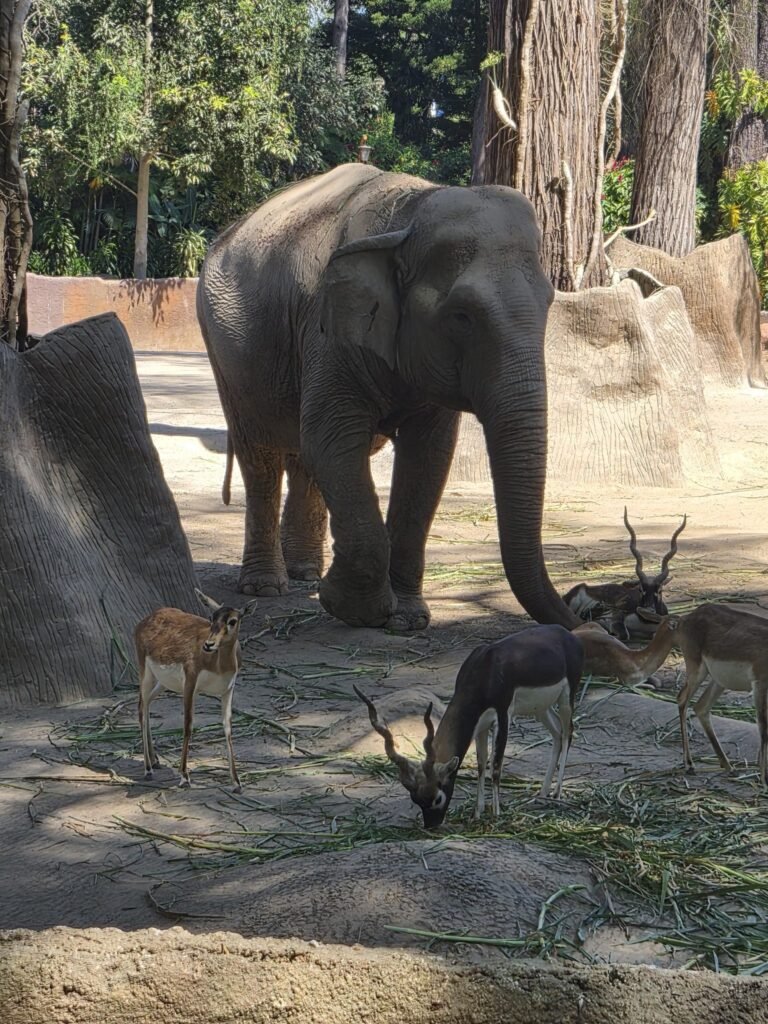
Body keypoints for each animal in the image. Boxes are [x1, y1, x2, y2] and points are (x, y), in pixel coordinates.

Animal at [197, 163, 578, 632]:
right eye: (462, 316)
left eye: (550, 304)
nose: (587, 617)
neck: (408, 214)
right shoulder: (328, 330)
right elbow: (335, 441)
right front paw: (353, 609)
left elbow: (429, 457)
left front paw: (408, 619)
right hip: (226, 352)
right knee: (262, 456)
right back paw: (266, 587)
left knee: (302, 456)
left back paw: (305, 573)